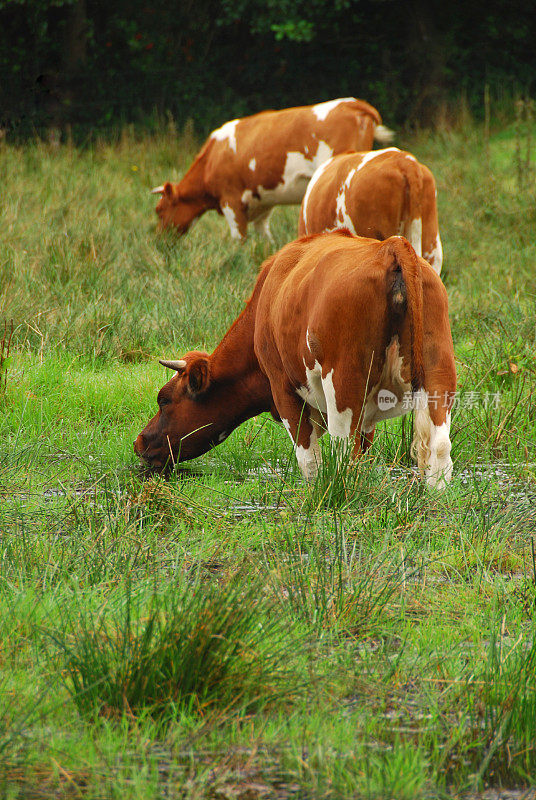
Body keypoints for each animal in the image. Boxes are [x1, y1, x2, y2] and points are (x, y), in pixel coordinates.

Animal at [135, 227, 456, 488]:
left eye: (164, 400)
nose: (139, 442)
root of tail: (390, 246)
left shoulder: (282, 389)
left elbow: (309, 460)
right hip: (439, 375)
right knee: (439, 448)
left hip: (343, 386)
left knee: (343, 453)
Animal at [151, 98, 394, 241]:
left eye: (159, 210)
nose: (160, 242)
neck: (212, 158)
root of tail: (354, 103)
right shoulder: (262, 204)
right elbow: (264, 238)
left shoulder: (230, 200)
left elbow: (239, 239)